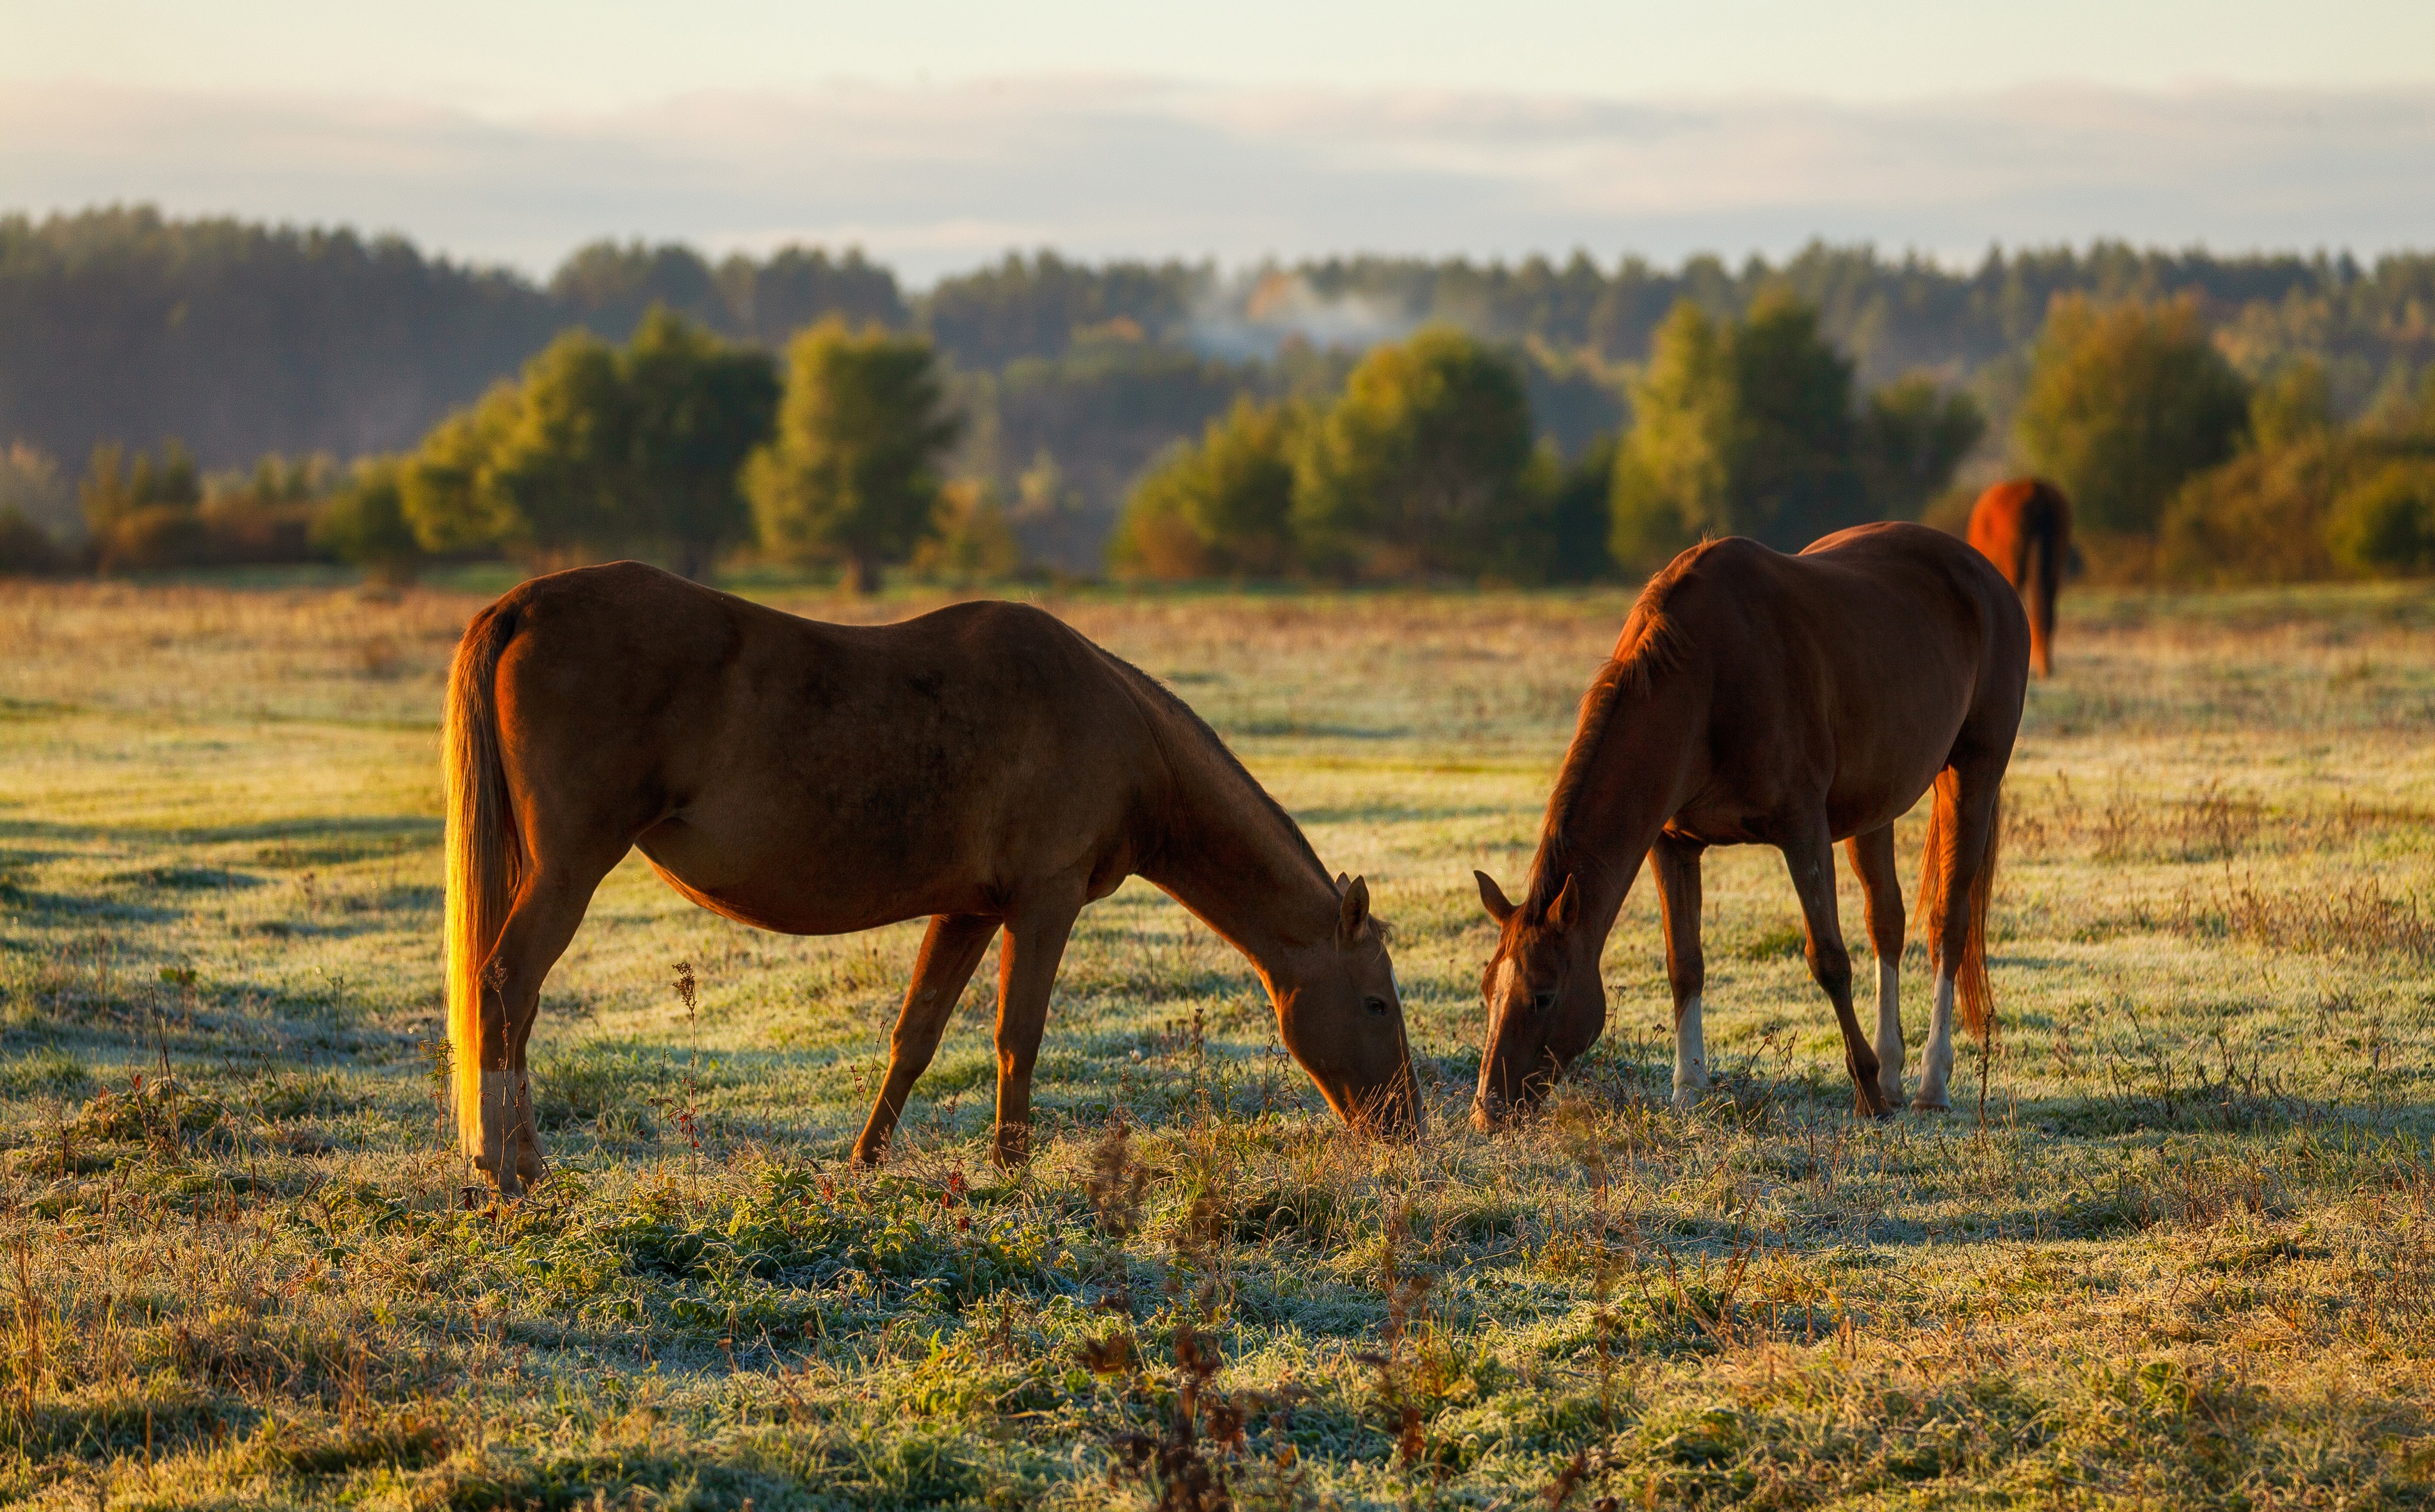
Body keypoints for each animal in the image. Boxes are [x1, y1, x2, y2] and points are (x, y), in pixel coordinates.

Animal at [448, 557, 1422, 1193]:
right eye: (1377, 1003)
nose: (1407, 1130)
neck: (1120, 727)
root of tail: (522, 606)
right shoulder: (1043, 902)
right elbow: (1017, 1034)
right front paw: (1011, 1167)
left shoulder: (968, 911)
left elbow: (914, 1036)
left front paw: (865, 1160)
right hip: (570, 868)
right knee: (506, 986)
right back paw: (512, 1167)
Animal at [1471, 518, 2026, 1120]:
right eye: (1487, 989)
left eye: (1543, 994)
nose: (1487, 1110)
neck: (1709, 680)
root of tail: (1989, 578)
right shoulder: (1673, 844)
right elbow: (1684, 963)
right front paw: (1689, 1088)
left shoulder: (1804, 832)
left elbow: (1829, 959)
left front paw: (1868, 1092)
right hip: (1872, 808)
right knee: (1887, 921)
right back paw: (1896, 1072)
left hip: (1972, 775)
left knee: (1948, 923)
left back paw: (1930, 1082)